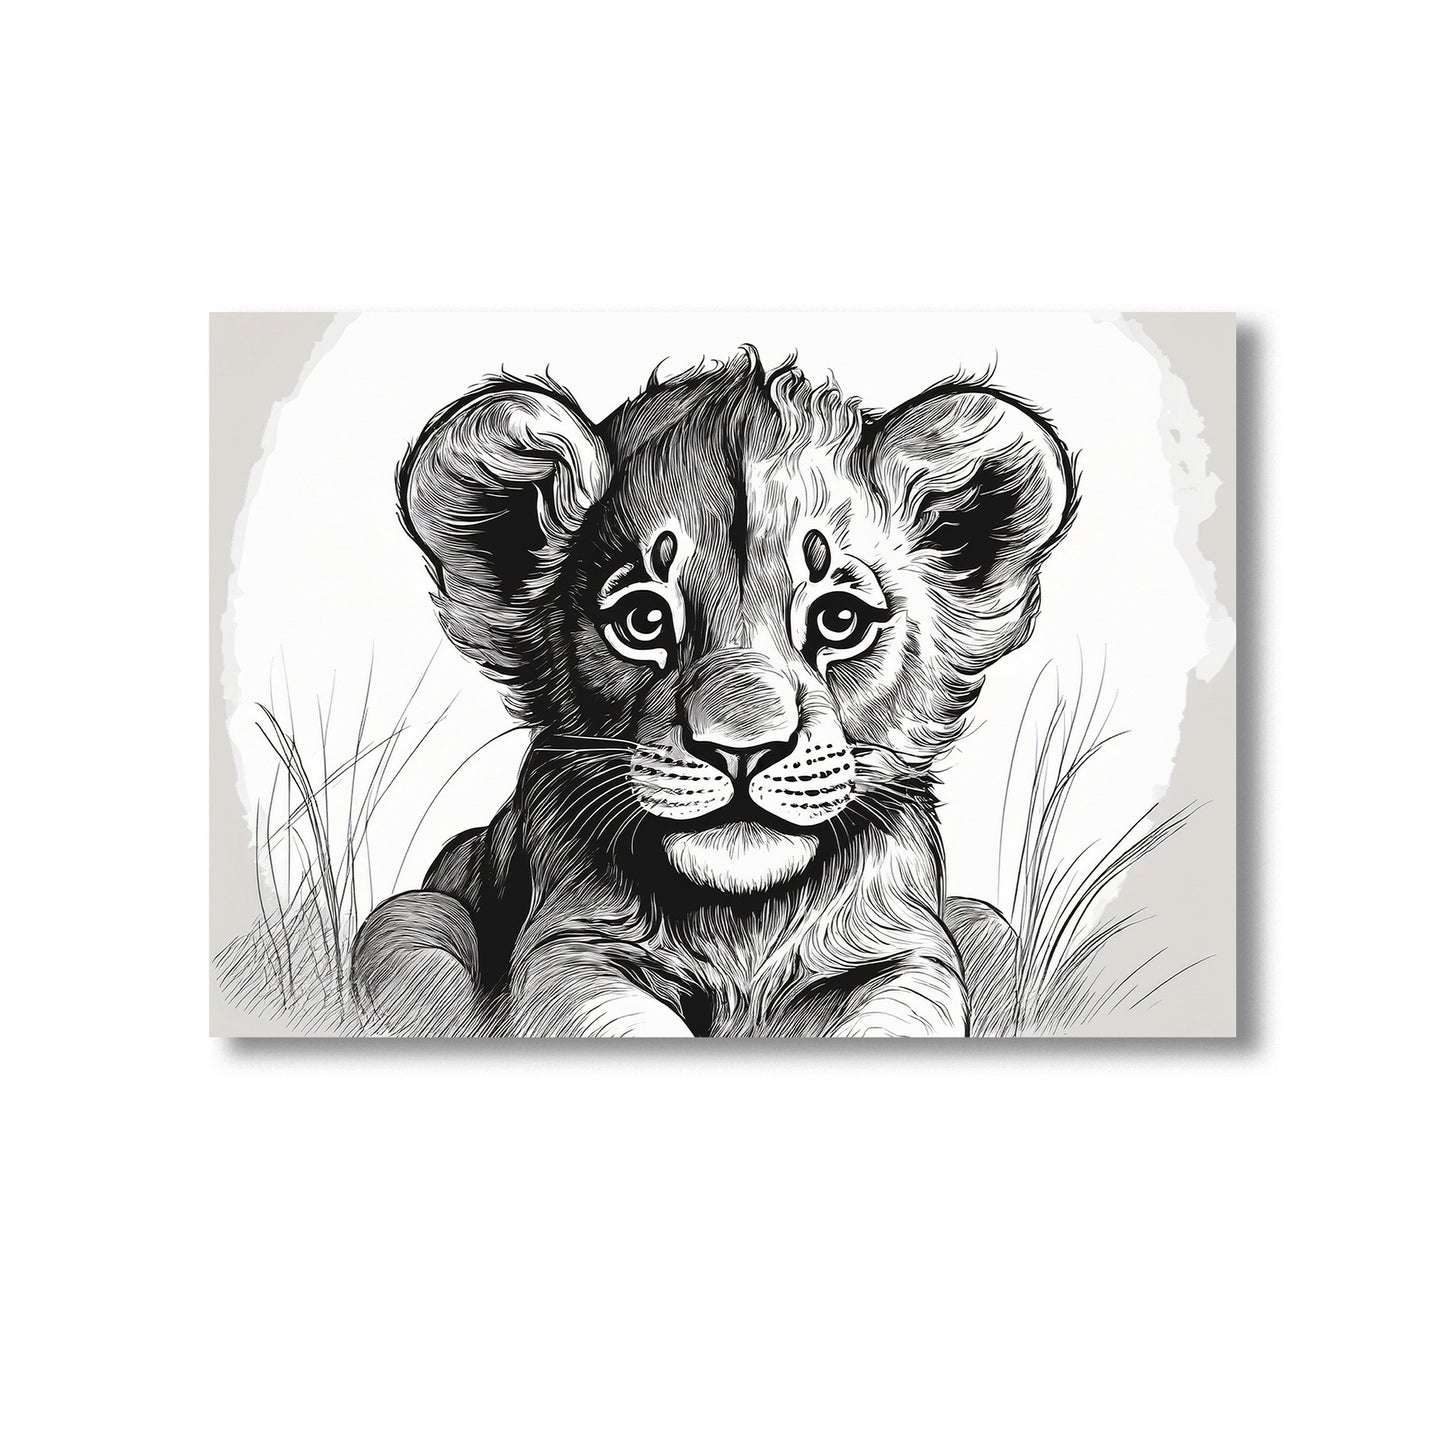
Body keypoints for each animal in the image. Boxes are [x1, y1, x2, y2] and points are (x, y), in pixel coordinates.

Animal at [352, 347, 1076, 1037]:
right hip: (411, 916)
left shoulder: (907, 954)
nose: (740, 750)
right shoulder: (573, 950)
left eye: (838, 619)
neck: (742, 919)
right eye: (643, 620)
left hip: (988, 927)